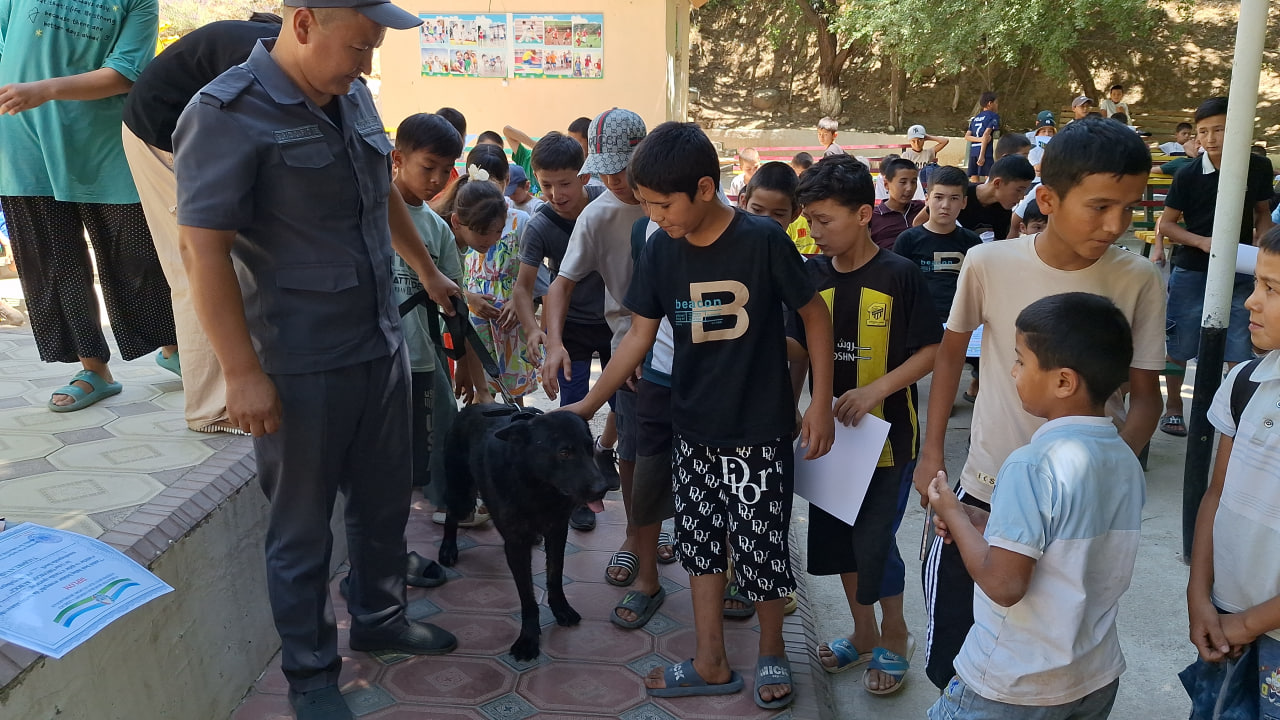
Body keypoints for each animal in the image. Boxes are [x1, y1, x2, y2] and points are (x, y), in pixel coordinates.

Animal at [437, 399, 606, 661]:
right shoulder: (517, 544)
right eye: (564, 453)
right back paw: (448, 548)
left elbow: (555, 576)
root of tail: (471, 407)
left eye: (590, 449)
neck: (537, 487)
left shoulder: (557, 532)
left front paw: (561, 609)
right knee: (451, 514)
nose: (603, 489)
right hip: (461, 495)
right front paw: (528, 637)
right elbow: (527, 595)